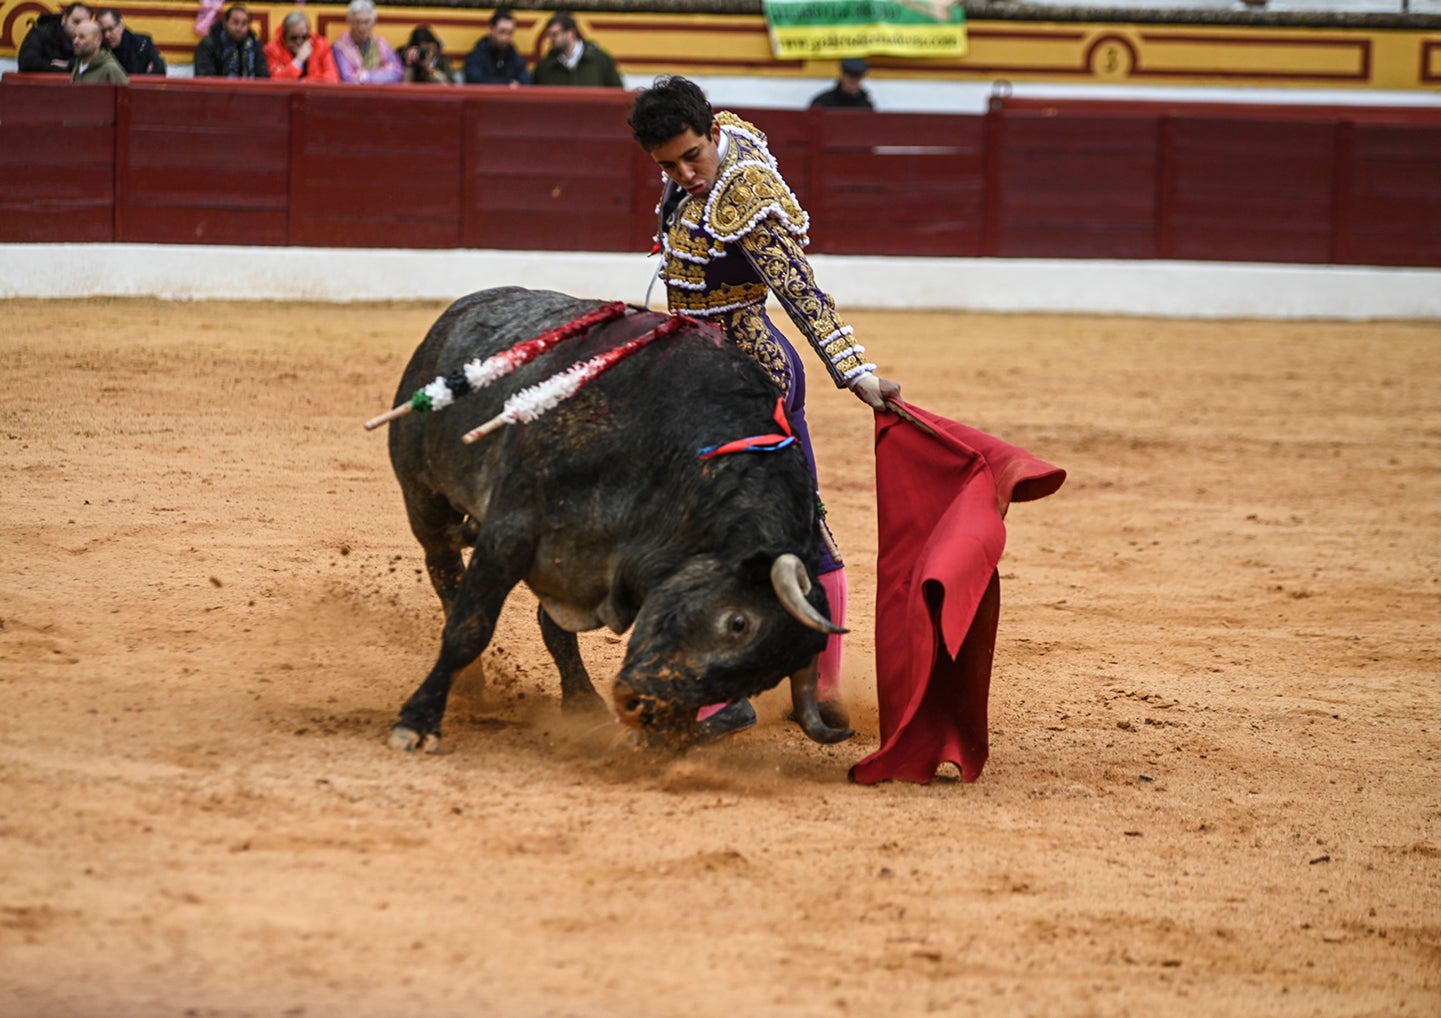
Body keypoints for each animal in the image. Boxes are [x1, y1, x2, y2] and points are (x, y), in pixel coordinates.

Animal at [383, 284, 853, 744]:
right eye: (738, 623)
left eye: (765, 678)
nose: (640, 708)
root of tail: (458, 311)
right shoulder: (511, 529)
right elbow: (470, 627)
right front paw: (417, 722)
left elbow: (554, 623)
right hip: (423, 495)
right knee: (444, 569)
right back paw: (471, 683)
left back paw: (581, 701)